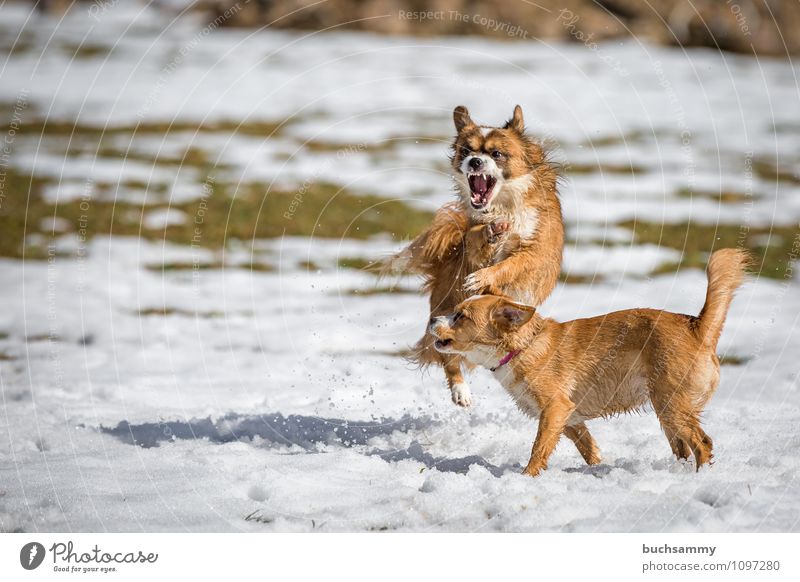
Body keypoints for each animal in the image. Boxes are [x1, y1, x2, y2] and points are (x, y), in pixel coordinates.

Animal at [386, 106, 564, 406]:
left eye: (496, 154)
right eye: (466, 151)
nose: (476, 162)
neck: (502, 205)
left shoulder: (536, 250)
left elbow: (515, 261)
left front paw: (484, 277)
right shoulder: (472, 238)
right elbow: (476, 238)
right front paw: (491, 233)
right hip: (448, 310)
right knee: (446, 353)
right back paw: (460, 390)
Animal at [428, 249, 748, 476]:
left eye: (460, 316)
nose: (432, 319)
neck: (522, 346)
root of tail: (698, 328)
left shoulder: (554, 409)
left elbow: (538, 449)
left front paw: (525, 478)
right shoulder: (570, 418)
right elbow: (589, 449)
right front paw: (597, 468)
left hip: (671, 405)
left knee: (703, 444)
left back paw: (700, 478)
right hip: (667, 411)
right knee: (683, 448)